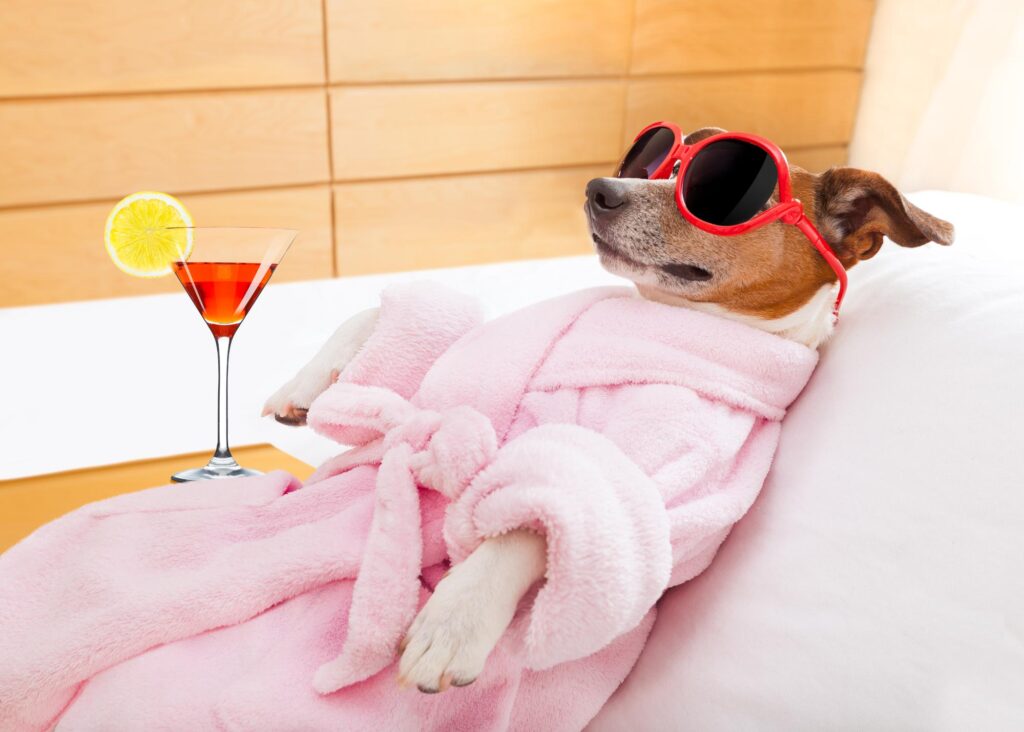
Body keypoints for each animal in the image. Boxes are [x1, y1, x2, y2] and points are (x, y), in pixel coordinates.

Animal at [264, 128, 950, 696]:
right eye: (655, 159)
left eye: (722, 190)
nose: (599, 189)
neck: (670, 320)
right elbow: (379, 321)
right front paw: (306, 383)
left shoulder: (677, 477)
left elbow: (552, 515)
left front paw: (456, 616)